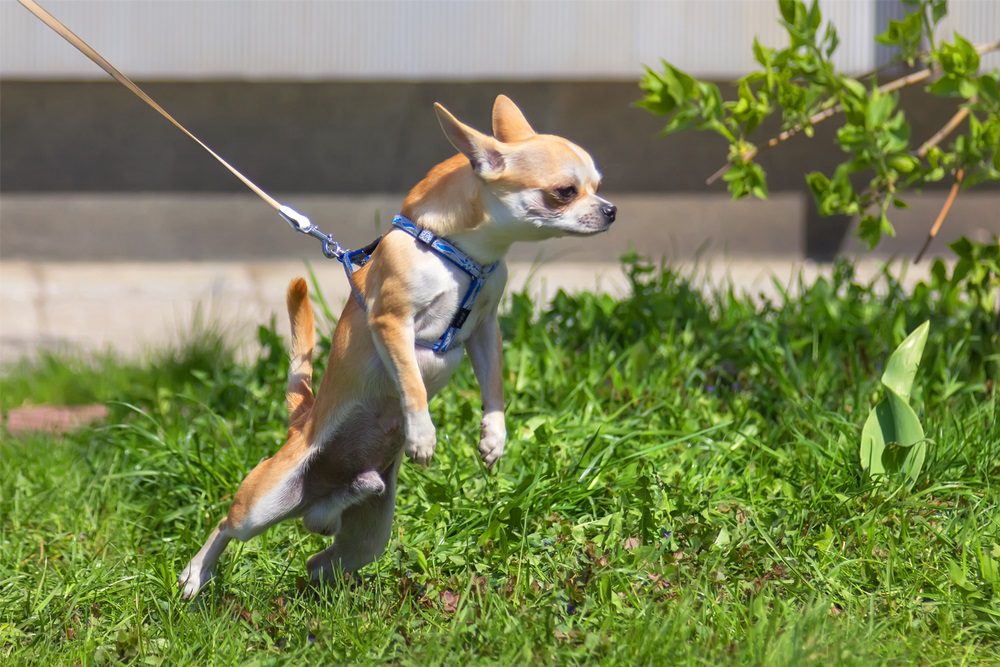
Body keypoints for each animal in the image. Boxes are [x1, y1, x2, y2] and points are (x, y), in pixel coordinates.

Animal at [181, 95, 616, 600]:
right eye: (565, 192)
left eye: (597, 185)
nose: (611, 210)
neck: (462, 253)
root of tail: (302, 422)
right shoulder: (393, 323)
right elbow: (412, 384)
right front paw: (423, 434)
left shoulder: (486, 329)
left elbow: (494, 386)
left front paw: (494, 437)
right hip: (262, 503)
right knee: (226, 526)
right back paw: (196, 574)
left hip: (368, 535)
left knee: (320, 555)